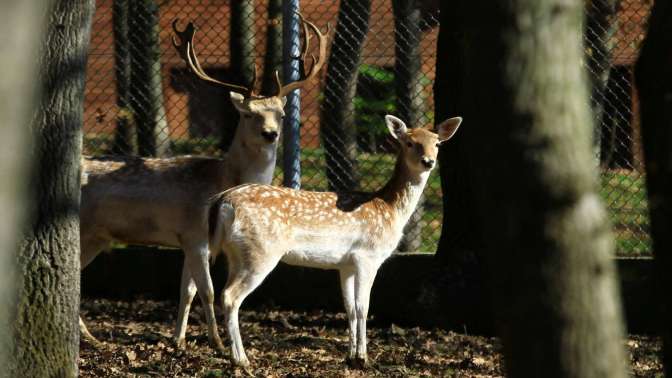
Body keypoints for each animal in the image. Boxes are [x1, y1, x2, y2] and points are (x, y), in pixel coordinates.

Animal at [78, 12, 328, 354]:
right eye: (248, 114)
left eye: (280, 112)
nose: (271, 133)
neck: (221, 178)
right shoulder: (195, 233)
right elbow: (207, 291)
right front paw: (217, 342)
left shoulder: (190, 240)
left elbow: (187, 291)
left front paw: (178, 339)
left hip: (98, 236)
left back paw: (89, 336)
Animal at [207, 115, 464, 366]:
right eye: (410, 142)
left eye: (437, 143)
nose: (428, 161)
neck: (390, 209)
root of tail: (224, 201)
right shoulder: (368, 256)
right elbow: (363, 307)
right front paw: (363, 358)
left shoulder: (346, 264)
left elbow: (349, 308)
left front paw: (350, 356)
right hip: (261, 251)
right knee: (230, 296)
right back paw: (241, 359)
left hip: (236, 253)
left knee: (223, 291)